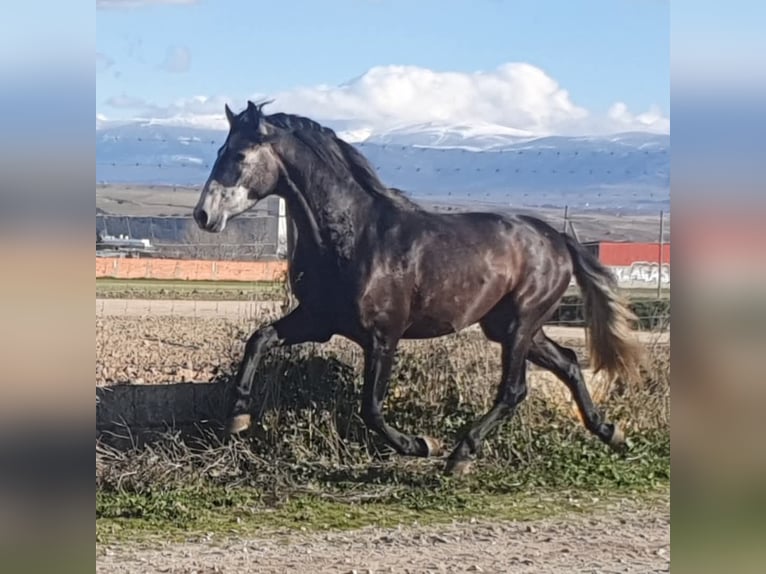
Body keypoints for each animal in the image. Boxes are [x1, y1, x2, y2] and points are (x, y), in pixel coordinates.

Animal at [193, 100, 644, 475]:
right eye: (219, 152)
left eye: (238, 154)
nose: (203, 215)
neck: (354, 236)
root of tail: (557, 238)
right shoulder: (316, 321)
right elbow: (259, 339)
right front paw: (238, 418)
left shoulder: (383, 335)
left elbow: (371, 408)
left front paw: (422, 444)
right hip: (509, 327)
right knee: (568, 362)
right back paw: (610, 432)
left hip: (520, 323)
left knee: (514, 390)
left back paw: (460, 455)